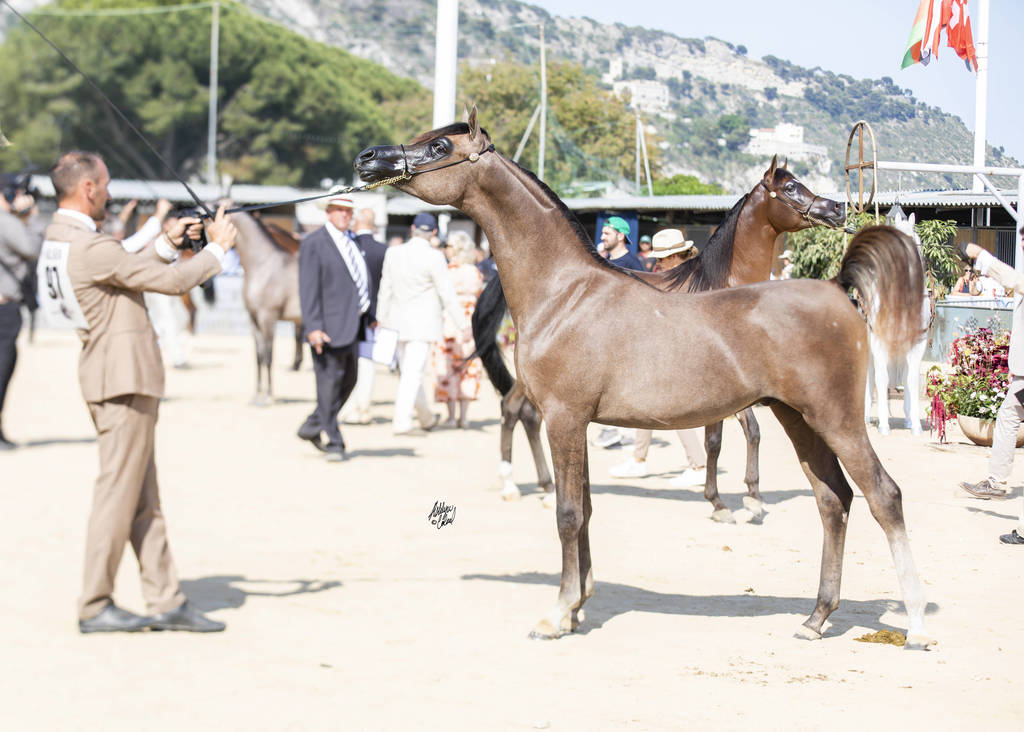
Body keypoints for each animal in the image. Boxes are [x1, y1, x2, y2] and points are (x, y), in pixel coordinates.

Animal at [229, 211, 304, 405]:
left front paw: (269, 396)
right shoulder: (254, 319)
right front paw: (257, 395)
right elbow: (259, 357)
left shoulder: (268, 318)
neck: (264, 266)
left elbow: (269, 356)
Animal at [472, 157, 847, 522]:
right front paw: (735, 501)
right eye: (791, 187)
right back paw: (519, 486)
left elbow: (731, 437)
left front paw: (737, 498)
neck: (720, 285)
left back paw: (545, 486)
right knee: (513, 409)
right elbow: (728, 438)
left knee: (524, 413)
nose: (837, 209)